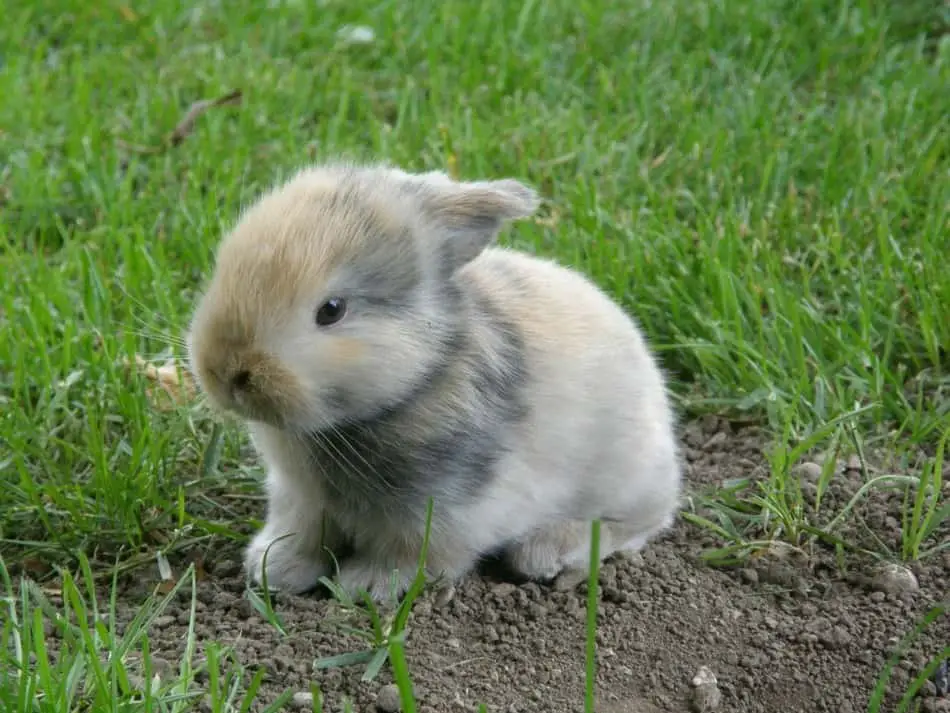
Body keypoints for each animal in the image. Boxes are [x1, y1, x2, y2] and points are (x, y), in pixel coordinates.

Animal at [186, 161, 680, 600]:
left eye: (331, 310)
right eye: (223, 267)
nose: (225, 372)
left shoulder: (442, 513)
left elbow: (415, 556)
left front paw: (365, 586)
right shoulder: (299, 498)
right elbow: (302, 534)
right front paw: (273, 569)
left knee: (640, 523)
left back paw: (548, 553)